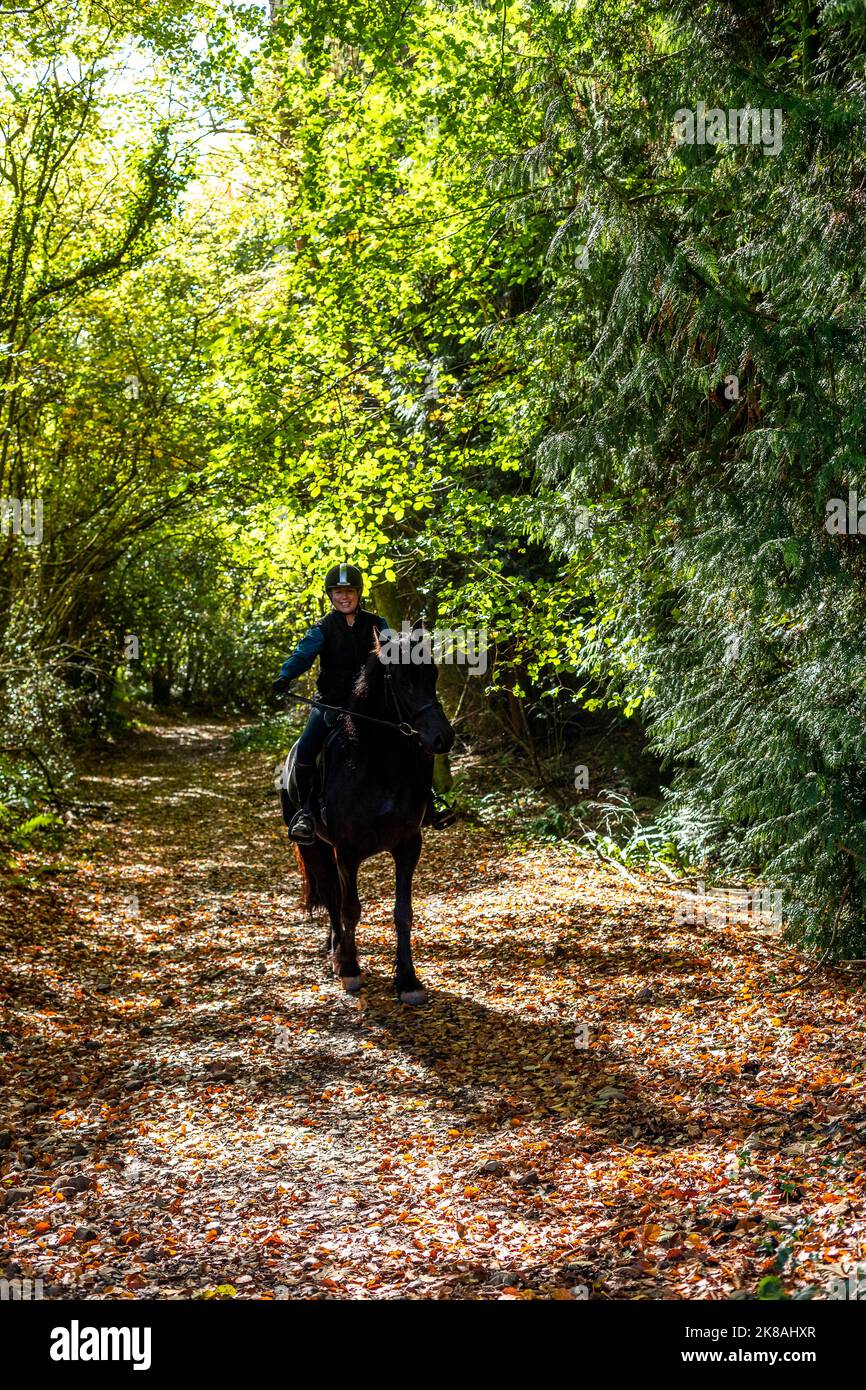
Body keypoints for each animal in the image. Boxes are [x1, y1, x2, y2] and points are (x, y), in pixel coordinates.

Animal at [287, 628, 458, 1000]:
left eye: (433, 674)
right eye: (404, 681)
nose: (443, 738)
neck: (378, 762)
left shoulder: (408, 846)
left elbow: (403, 913)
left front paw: (408, 980)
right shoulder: (347, 852)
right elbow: (350, 909)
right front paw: (350, 969)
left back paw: (333, 948)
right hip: (316, 847)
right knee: (331, 896)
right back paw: (339, 956)